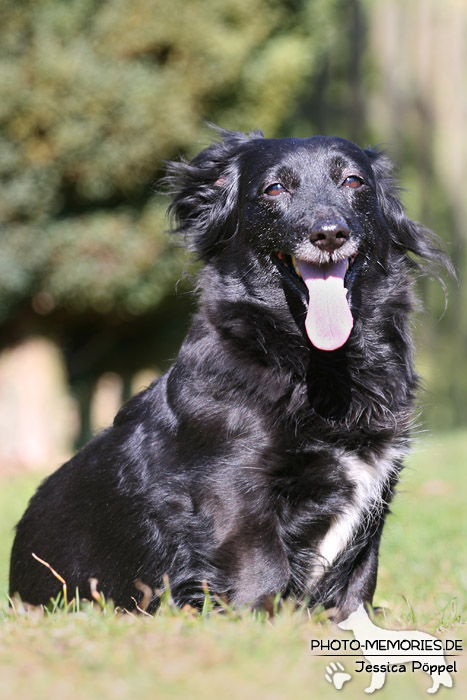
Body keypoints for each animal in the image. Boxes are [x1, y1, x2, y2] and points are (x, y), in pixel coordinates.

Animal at [9, 129, 450, 616]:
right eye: (274, 189)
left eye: (353, 181)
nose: (330, 233)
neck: (312, 365)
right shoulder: (231, 484)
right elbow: (263, 568)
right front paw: (251, 623)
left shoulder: (377, 487)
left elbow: (358, 580)